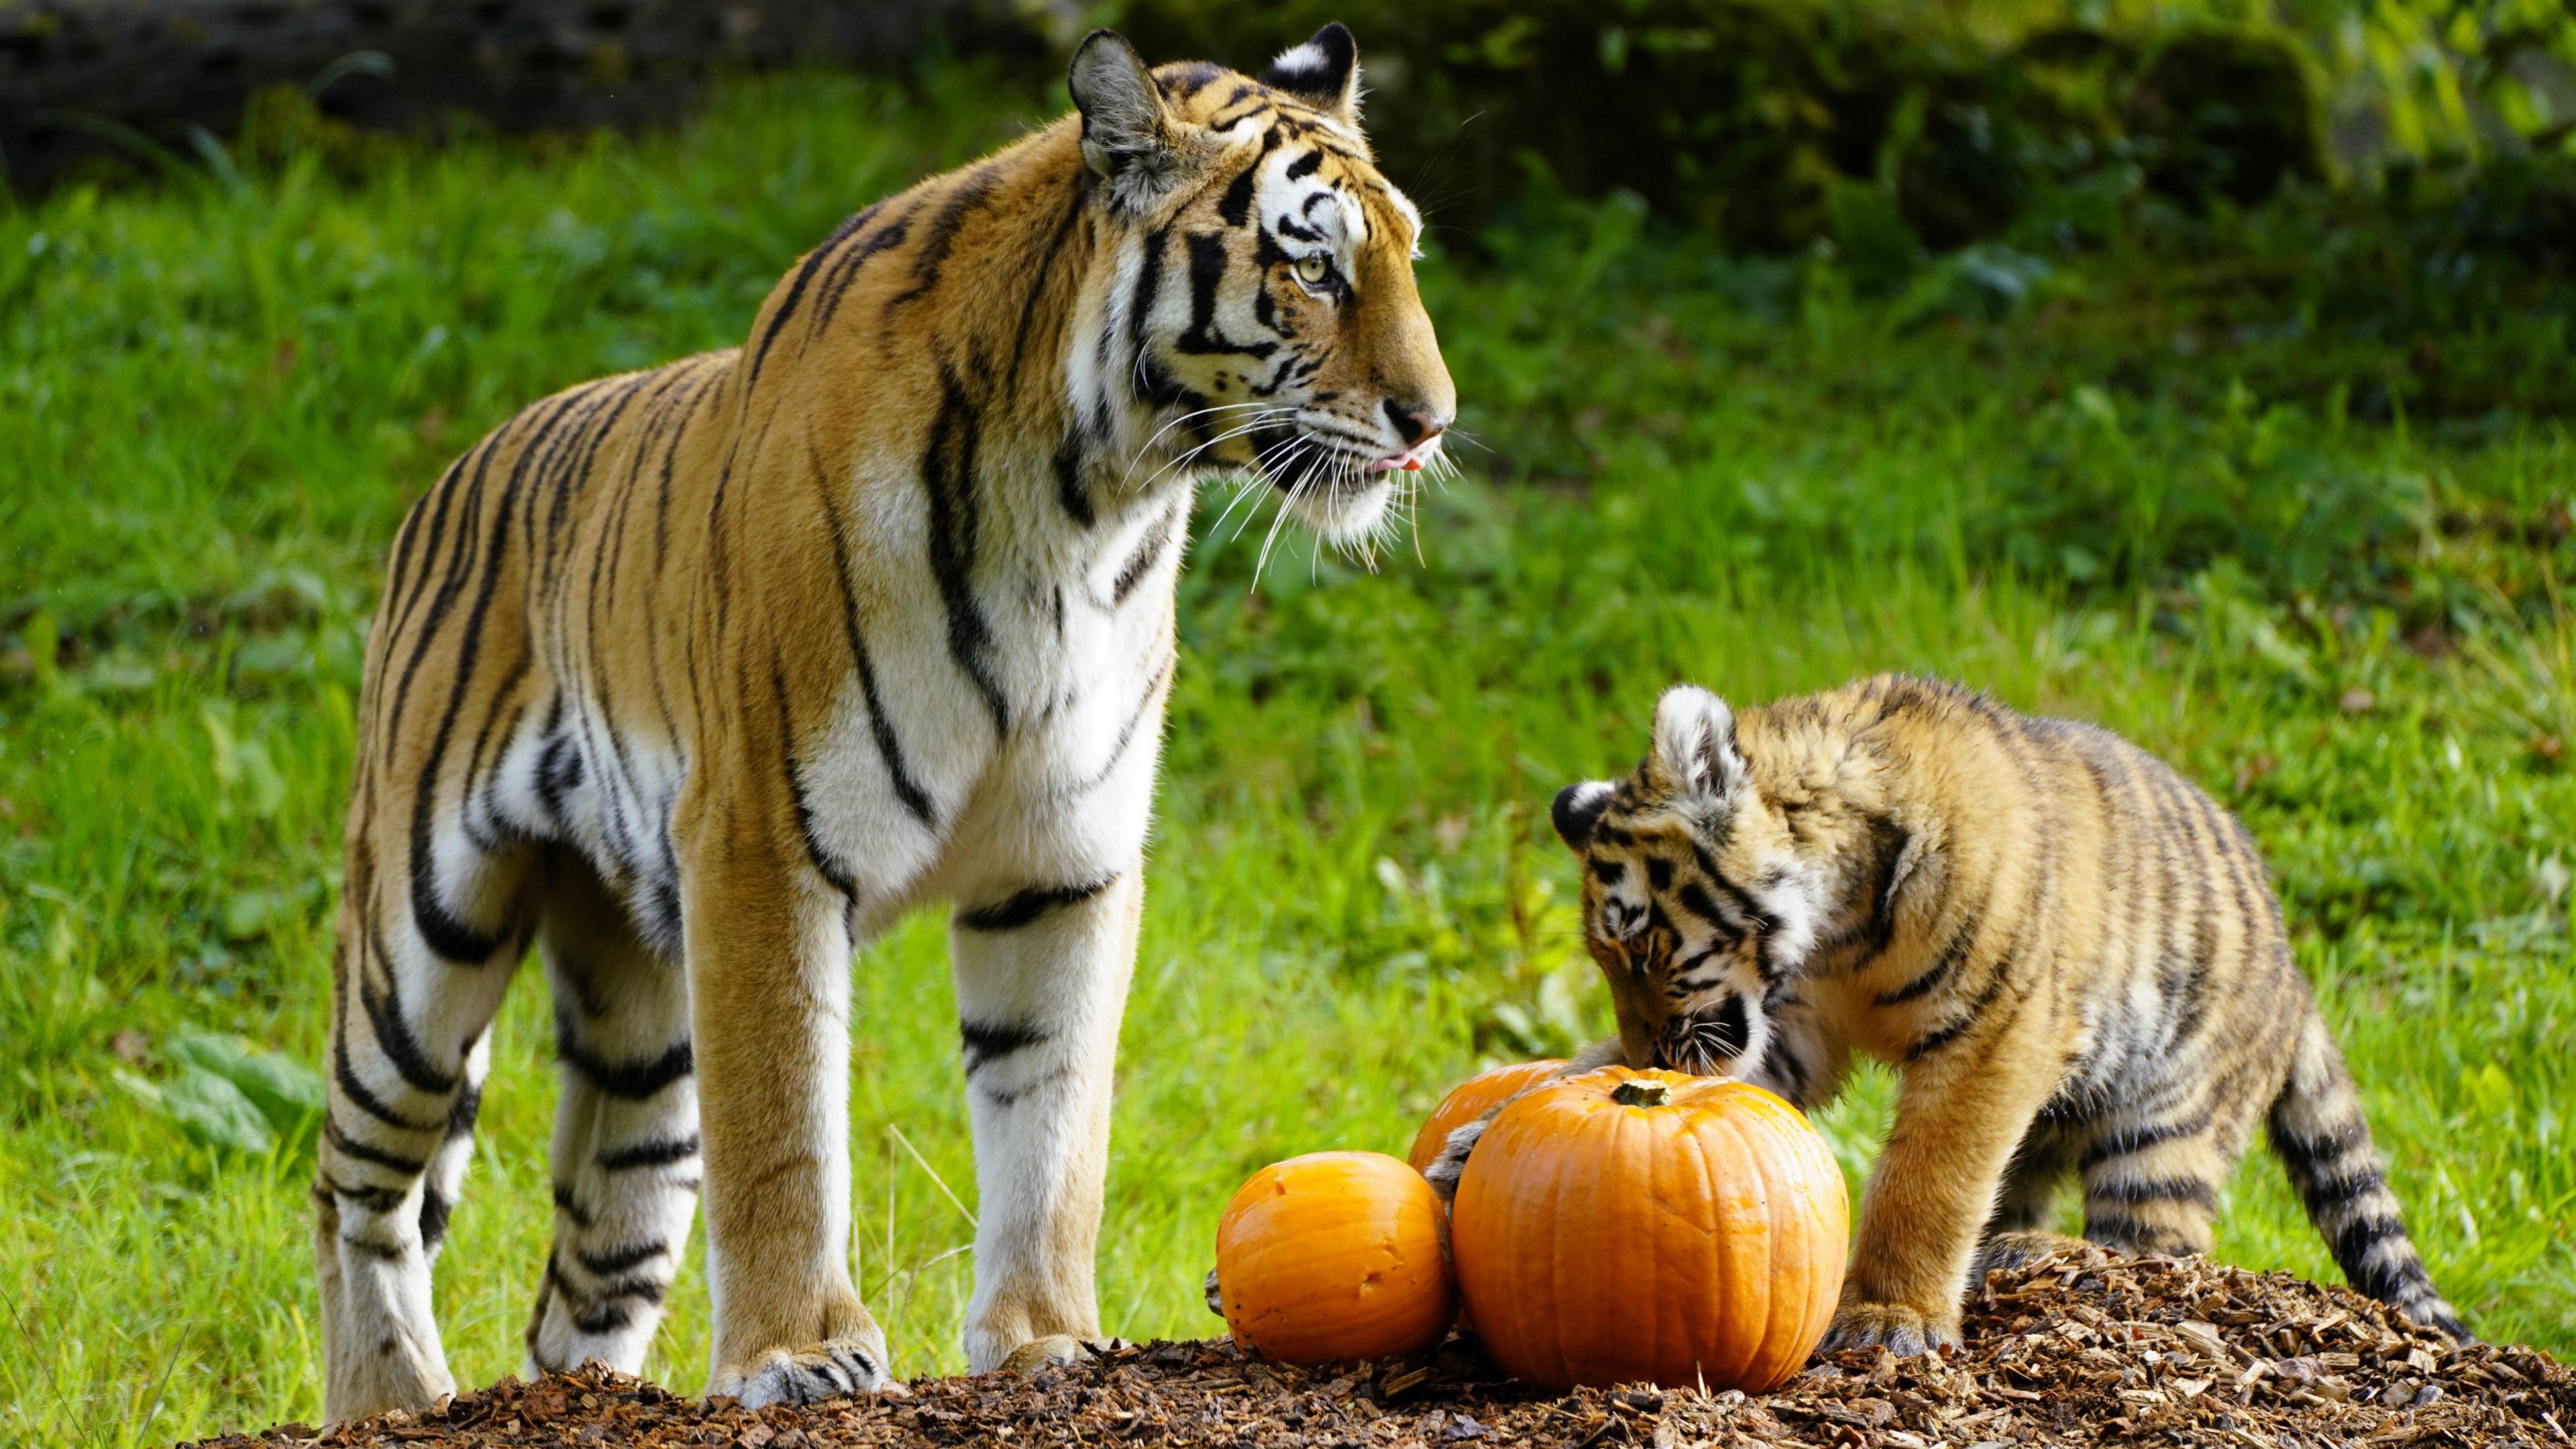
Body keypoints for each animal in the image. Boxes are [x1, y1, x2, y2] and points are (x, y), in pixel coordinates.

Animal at [317, 22, 1452, 1413]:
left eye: (1404, 259)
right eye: (1312, 266)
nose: (1434, 422)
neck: (1093, 504)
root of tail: (459, 469)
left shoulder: (1064, 865)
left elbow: (1055, 1123)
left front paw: (1046, 1338)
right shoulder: (761, 846)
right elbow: (786, 1134)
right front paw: (799, 1353)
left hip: (643, 1028)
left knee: (592, 1256)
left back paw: (574, 1401)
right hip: (421, 934)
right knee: (357, 1185)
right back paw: (391, 1396)